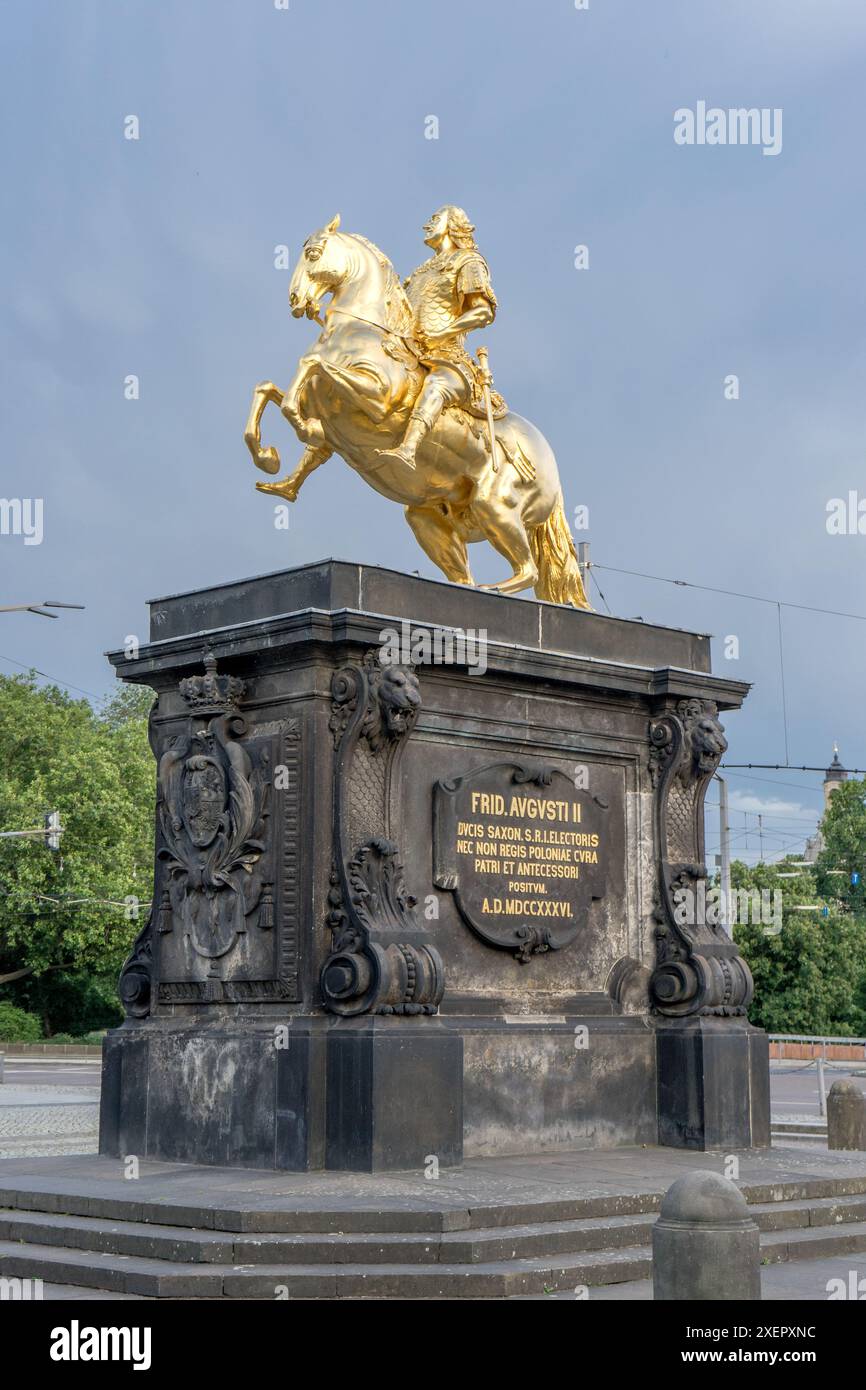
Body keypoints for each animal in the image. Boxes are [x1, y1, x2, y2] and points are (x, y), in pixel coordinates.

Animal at [244, 214, 589, 606]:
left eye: (313, 254)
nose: (295, 299)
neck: (359, 333)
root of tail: (552, 468)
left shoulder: (377, 399)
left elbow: (311, 366)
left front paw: (303, 428)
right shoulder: (325, 410)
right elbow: (268, 390)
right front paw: (269, 459)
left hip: (495, 506)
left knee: (527, 570)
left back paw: (491, 591)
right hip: (428, 518)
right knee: (464, 576)